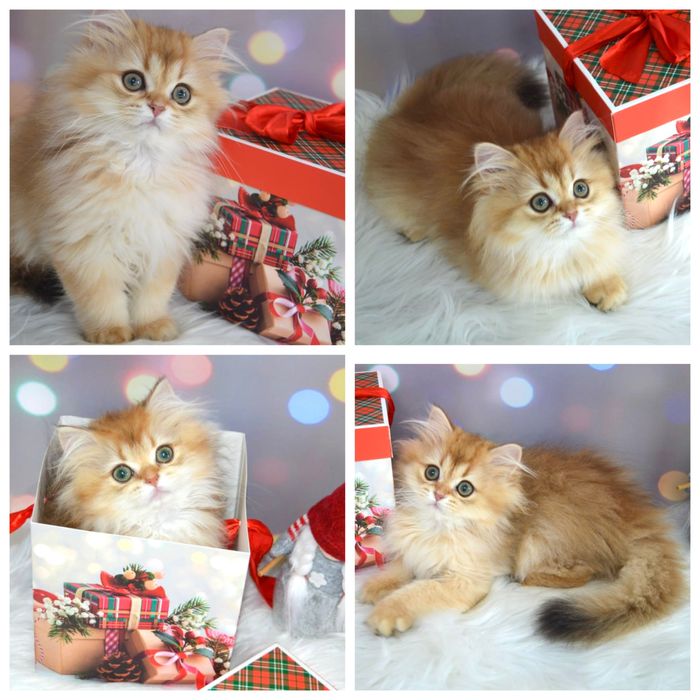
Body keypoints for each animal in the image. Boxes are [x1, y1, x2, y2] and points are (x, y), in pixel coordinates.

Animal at [10, 11, 234, 343]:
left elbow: (152, 296)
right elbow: (101, 298)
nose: (157, 107)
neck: (138, 166)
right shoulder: (85, 244)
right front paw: (111, 333)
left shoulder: (162, 241)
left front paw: (153, 327)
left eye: (181, 94)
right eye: (133, 81)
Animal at [361, 405, 685, 642]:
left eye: (465, 489)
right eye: (432, 472)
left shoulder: (466, 580)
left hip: (541, 536)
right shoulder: (413, 550)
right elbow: (400, 567)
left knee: (585, 571)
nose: (438, 495)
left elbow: (418, 590)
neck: (437, 528)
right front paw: (374, 586)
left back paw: (528, 579)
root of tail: (633, 510)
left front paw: (386, 612)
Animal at [364, 53, 628, 311]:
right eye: (540, 203)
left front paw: (605, 286)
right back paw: (414, 231)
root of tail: (415, 108)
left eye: (580, 188)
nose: (572, 214)